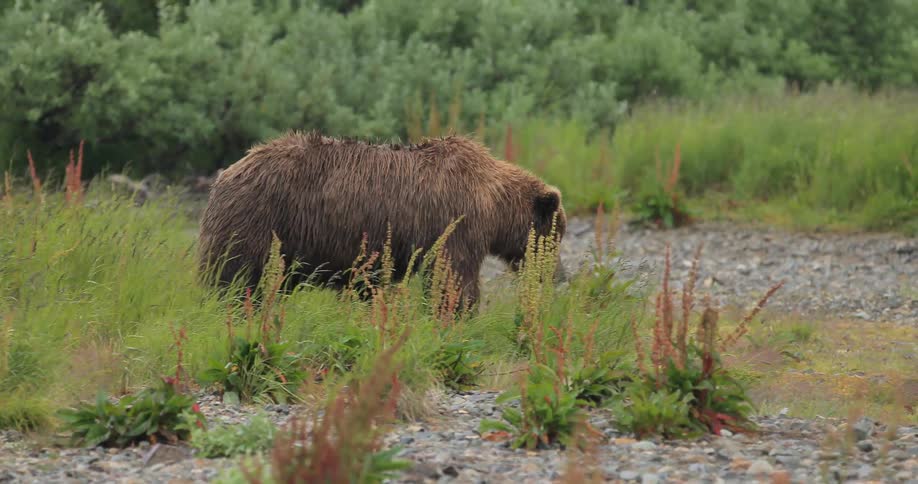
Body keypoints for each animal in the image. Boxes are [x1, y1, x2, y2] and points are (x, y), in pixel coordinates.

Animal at [197, 130, 566, 309]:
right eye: (557, 235)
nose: (558, 276)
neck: (492, 203)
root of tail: (226, 173)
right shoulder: (455, 221)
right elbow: (453, 275)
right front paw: (459, 312)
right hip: (260, 217)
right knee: (235, 273)